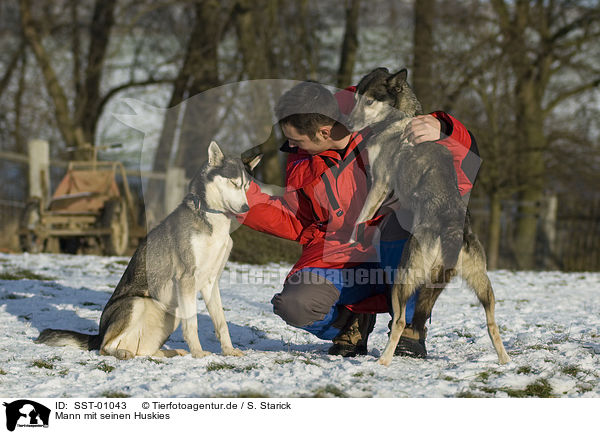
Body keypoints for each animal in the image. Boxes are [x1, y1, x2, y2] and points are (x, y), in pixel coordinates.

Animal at [37, 142, 260, 360]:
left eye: (247, 187)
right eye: (233, 183)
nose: (246, 208)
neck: (213, 219)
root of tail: (99, 333)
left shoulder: (210, 282)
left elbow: (221, 323)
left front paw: (229, 351)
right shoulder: (186, 278)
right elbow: (193, 325)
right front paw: (198, 353)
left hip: (172, 315)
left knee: (143, 350)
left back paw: (170, 352)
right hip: (136, 303)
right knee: (105, 347)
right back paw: (122, 353)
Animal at [346, 68, 510, 366]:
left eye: (370, 101)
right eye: (355, 98)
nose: (349, 124)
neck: (400, 117)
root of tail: (452, 231)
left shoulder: (380, 183)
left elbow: (361, 217)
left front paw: (352, 238)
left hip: (403, 277)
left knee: (400, 322)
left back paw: (384, 360)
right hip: (483, 283)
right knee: (492, 324)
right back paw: (505, 360)